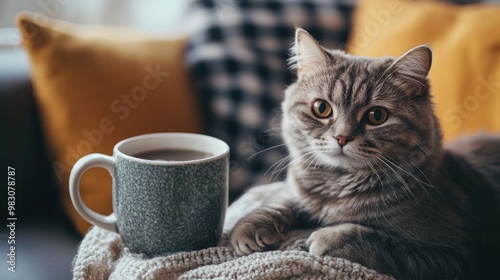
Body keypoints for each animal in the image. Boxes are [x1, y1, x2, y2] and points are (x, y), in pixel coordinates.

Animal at [230, 29, 500, 280]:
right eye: (321, 108)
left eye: (376, 116)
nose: (342, 137)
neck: (337, 184)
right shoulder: (298, 192)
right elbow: (281, 199)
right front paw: (249, 227)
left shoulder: (453, 255)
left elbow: (380, 241)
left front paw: (328, 237)